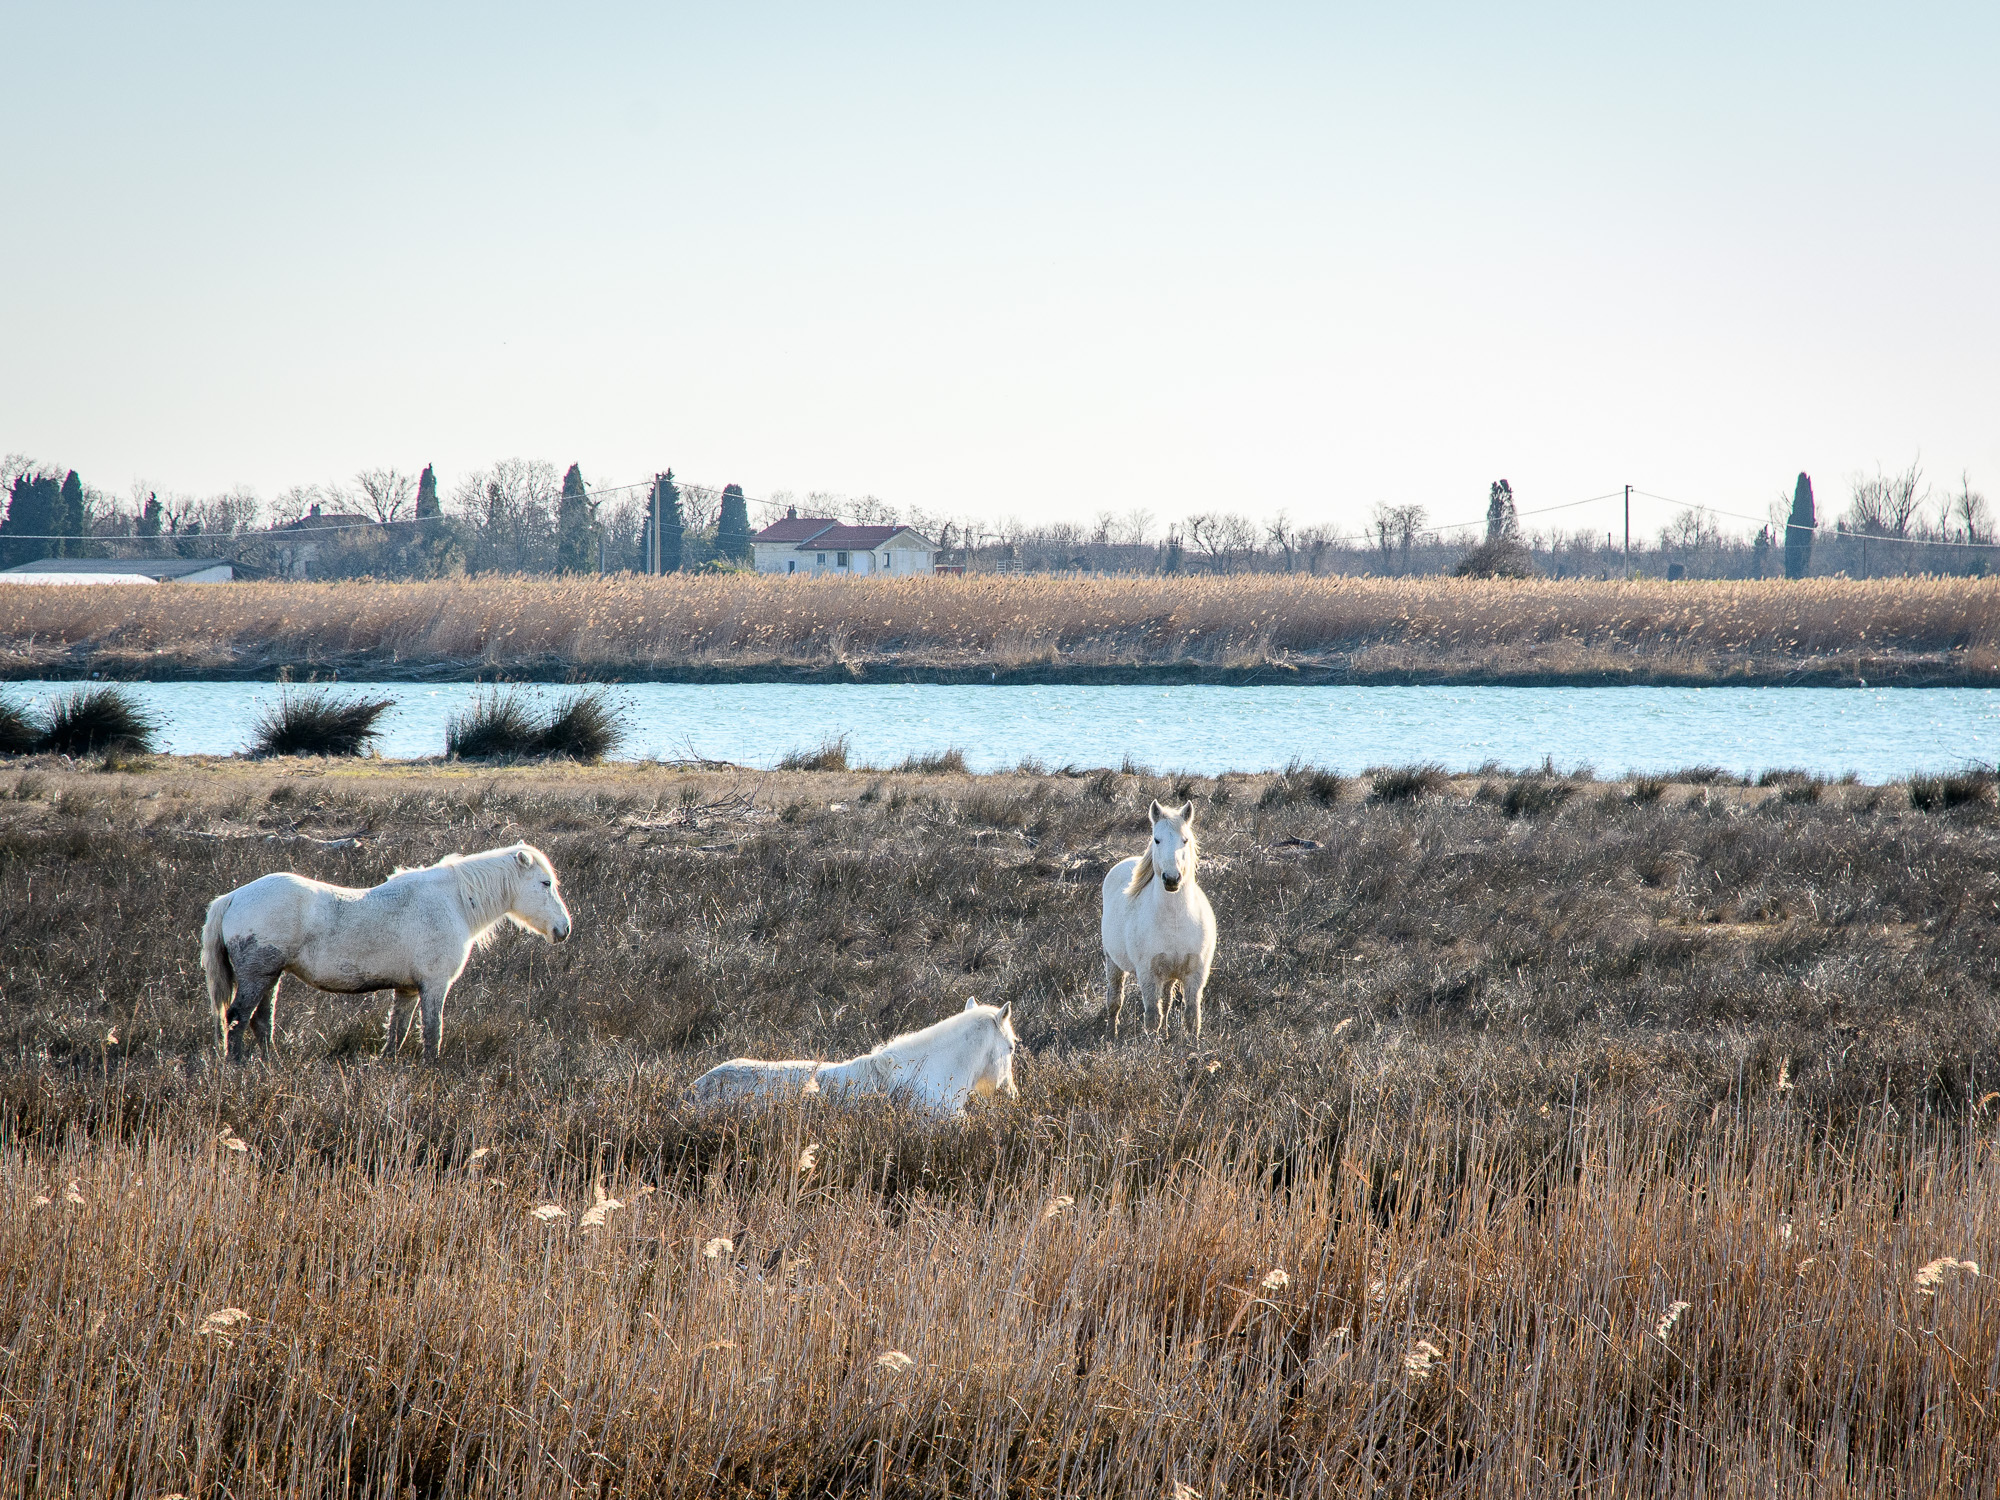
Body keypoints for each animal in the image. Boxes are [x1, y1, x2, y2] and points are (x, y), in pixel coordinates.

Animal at [200, 843, 572, 1063]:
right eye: (545, 884)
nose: (563, 929)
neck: (453, 902)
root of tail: (233, 897)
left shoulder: (407, 990)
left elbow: (398, 1031)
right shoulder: (434, 986)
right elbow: (432, 1030)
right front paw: (433, 1069)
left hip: (270, 976)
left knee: (261, 1020)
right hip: (258, 975)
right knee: (237, 1017)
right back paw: (236, 1065)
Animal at [1101, 799, 1217, 1038]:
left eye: (1185, 839)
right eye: (1157, 839)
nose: (1171, 879)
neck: (1174, 920)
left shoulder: (1196, 974)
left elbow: (1192, 1017)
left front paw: (1191, 1044)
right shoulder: (1148, 974)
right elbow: (1152, 1017)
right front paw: (1151, 1045)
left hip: (1169, 975)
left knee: (1166, 1002)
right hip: (1113, 963)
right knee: (1114, 1001)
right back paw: (1111, 1035)